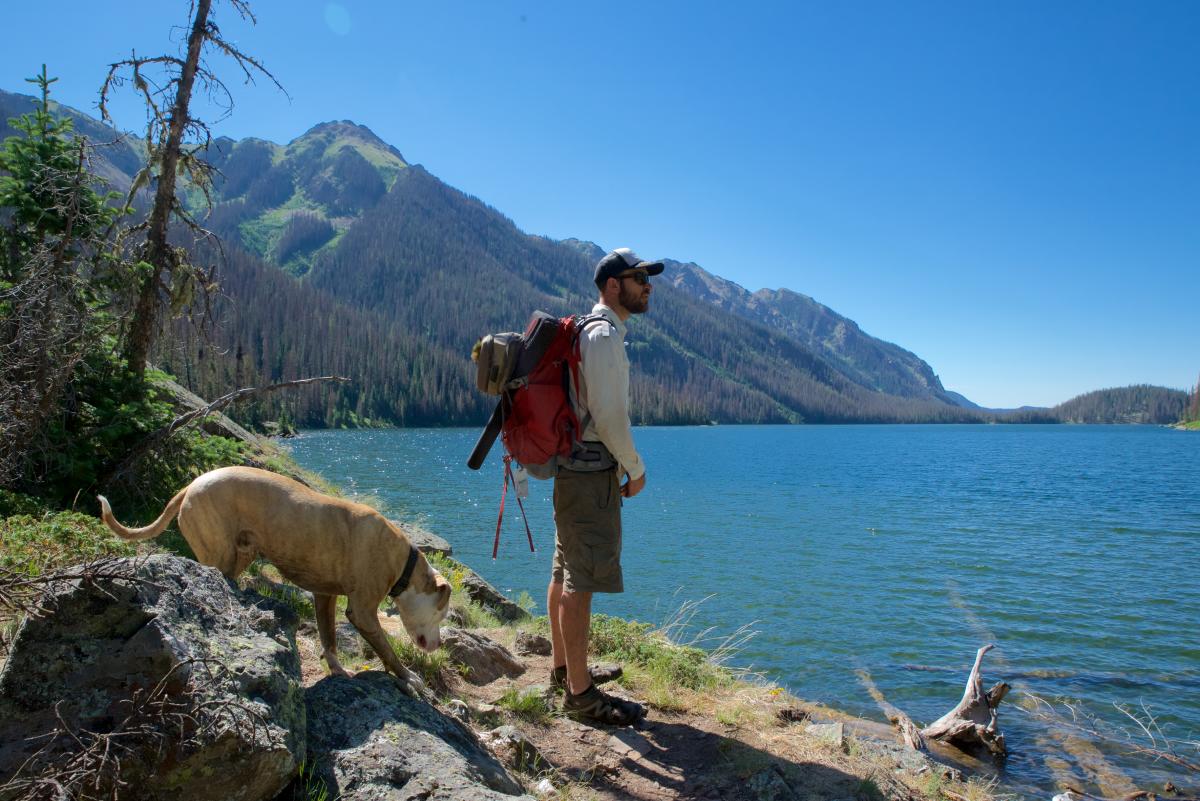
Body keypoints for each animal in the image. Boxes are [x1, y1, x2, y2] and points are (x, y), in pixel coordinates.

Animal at [97, 465, 451, 690]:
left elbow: (329, 637)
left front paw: (337, 670)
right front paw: (407, 677)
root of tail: (192, 484)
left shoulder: (325, 596)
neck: (403, 562)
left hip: (241, 553)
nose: (437, 645)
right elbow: (386, 649)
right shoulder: (362, 611)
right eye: (442, 613)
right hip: (219, 549)